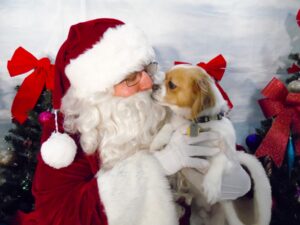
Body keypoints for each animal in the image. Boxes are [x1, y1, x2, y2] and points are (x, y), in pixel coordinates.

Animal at [151, 64, 243, 224]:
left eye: (171, 84)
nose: (152, 86)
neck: (198, 123)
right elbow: (167, 129)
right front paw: (159, 139)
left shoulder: (229, 158)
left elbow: (220, 157)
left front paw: (211, 186)